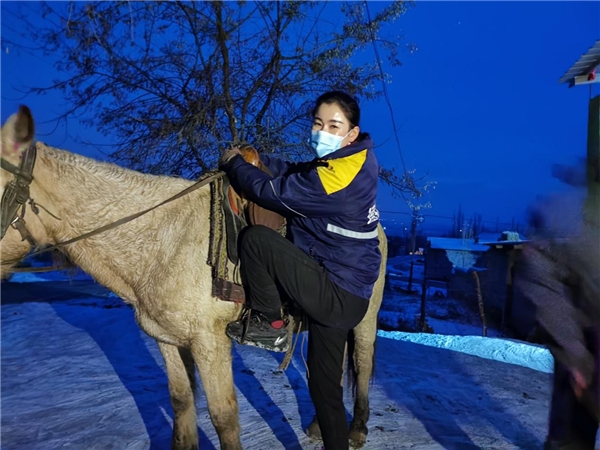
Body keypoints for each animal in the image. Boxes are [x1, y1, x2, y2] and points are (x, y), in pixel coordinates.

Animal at [2, 106, 386, 450]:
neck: (163, 240)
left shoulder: (210, 344)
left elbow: (223, 417)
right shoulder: (168, 340)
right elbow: (181, 401)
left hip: (362, 318)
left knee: (362, 362)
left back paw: (357, 430)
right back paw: (319, 426)